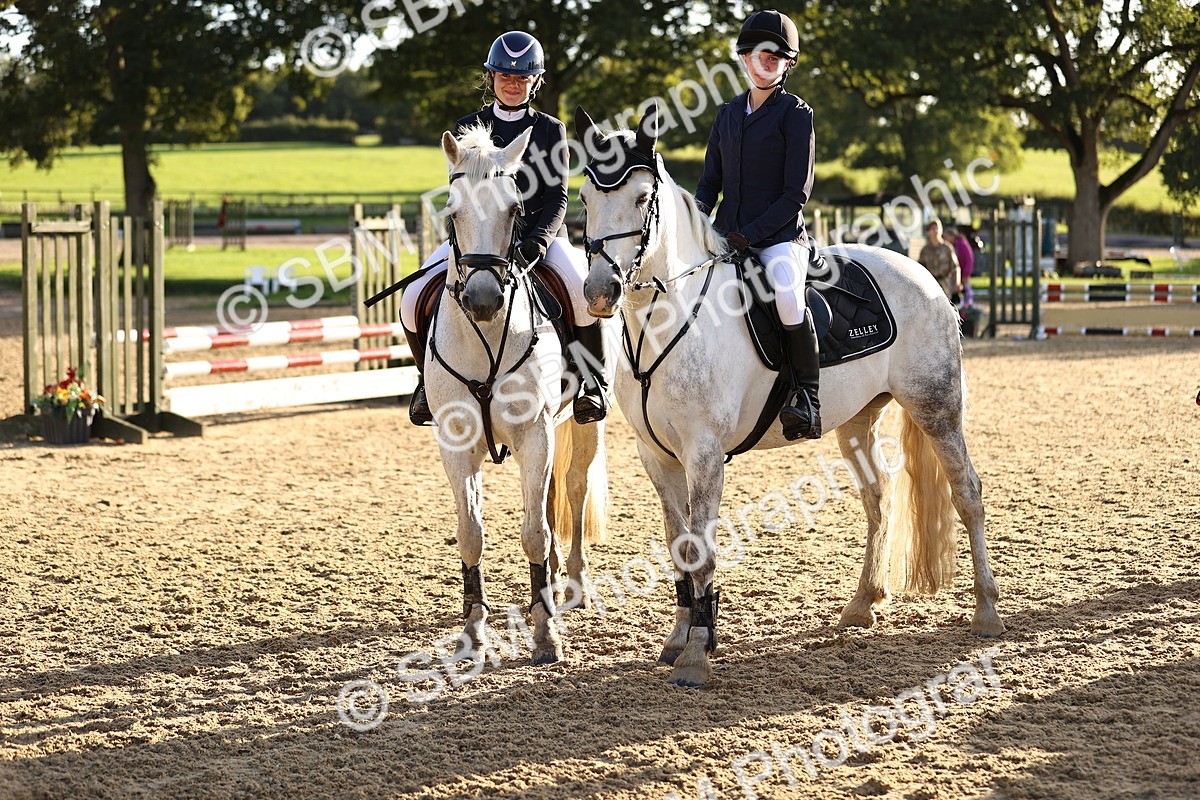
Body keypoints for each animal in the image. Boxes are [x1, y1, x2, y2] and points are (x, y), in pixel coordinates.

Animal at [423, 124, 611, 665]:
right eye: (452, 212)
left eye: (514, 210)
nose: (484, 300)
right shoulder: (456, 444)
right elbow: (471, 535)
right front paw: (473, 634)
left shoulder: (535, 434)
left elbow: (534, 532)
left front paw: (546, 634)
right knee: (544, 499)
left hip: (577, 427)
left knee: (572, 489)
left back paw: (572, 586)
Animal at [573, 106, 1004, 688]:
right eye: (586, 198)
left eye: (642, 199)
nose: (601, 293)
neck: (669, 319)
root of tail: (921, 273)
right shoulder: (656, 457)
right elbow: (679, 545)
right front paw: (680, 638)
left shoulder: (704, 453)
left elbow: (702, 549)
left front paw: (697, 654)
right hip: (857, 422)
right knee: (879, 498)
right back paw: (863, 603)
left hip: (937, 409)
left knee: (967, 493)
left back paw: (986, 611)